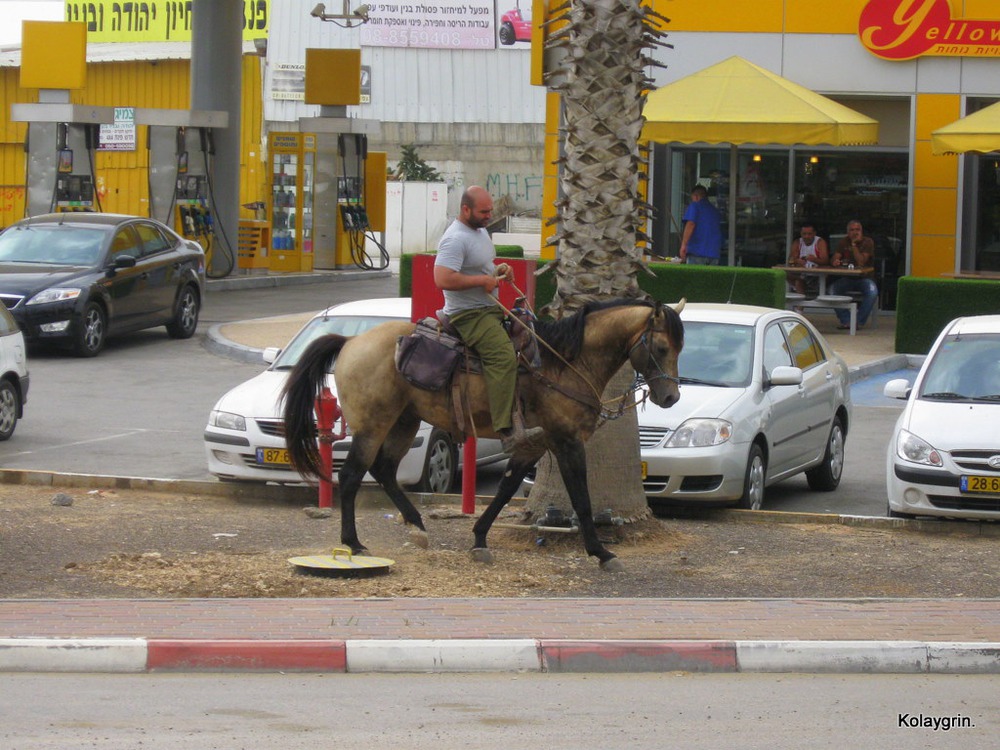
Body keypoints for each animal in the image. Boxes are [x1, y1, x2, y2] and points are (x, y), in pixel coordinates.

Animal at [284, 296, 688, 572]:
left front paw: (479, 538)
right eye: (661, 346)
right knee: (353, 475)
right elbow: (581, 498)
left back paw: (417, 526)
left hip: (404, 422)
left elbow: (507, 488)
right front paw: (601, 552)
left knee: (383, 470)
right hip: (373, 425)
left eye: (680, 348)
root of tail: (350, 342)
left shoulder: (534, 443)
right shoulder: (566, 441)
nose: (671, 397)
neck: (565, 363)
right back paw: (353, 543)